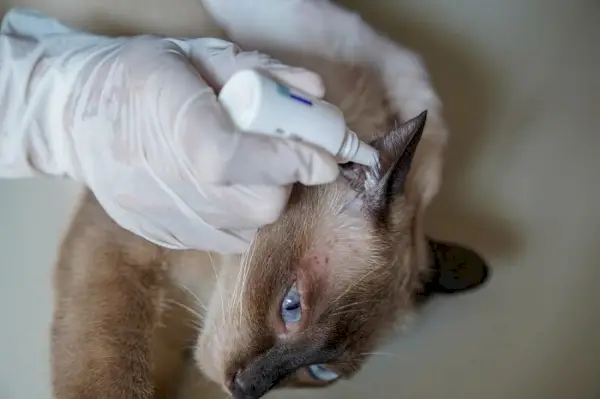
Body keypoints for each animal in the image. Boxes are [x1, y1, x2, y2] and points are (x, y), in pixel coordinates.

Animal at [48, 55, 488, 399]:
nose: (244, 390)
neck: (203, 289)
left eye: (321, 372)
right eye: (291, 307)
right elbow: (113, 374)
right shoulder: (123, 255)